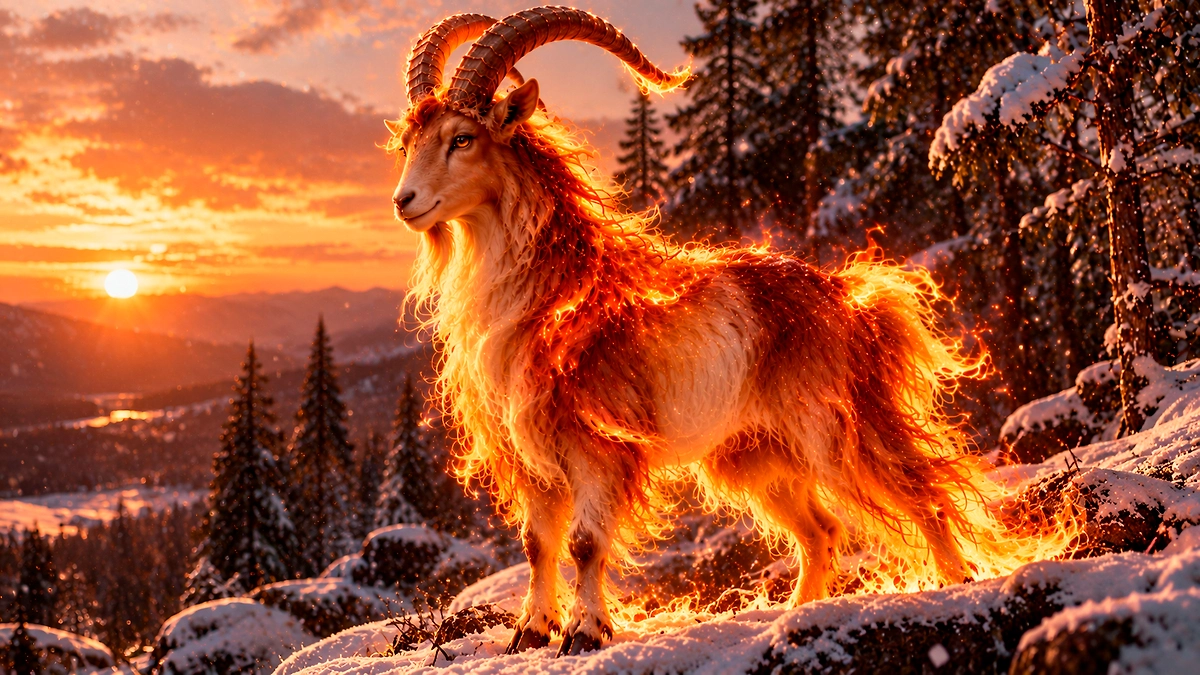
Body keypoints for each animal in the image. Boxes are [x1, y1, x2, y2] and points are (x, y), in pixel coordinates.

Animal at [388, 7, 1075, 657]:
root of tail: (851, 305)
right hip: (760, 457)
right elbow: (537, 543)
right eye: (408, 143)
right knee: (822, 531)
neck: (556, 293)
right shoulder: (532, 457)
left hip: (837, 434)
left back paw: (955, 583)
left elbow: (584, 543)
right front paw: (530, 633)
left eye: (462, 138)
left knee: (922, 492)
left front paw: (584, 633)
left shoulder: (599, 448)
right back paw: (801, 611)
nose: (404, 201)